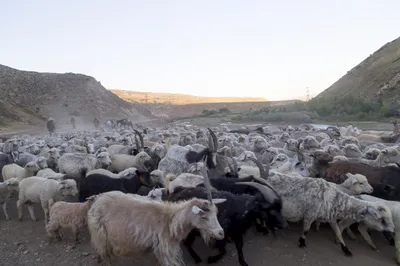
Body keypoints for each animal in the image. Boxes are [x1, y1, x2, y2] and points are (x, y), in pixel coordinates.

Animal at [87, 191, 225, 266]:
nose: (221, 233)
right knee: (106, 256)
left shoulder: (160, 249)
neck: (170, 221)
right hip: (100, 236)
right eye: (203, 216)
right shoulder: (166, 250)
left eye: (216, 213)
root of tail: (97, 200)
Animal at [256, 171, 394, 256]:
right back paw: (264, 229)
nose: (392, 231)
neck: (335, 199)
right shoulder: (310, 215)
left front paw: (346, 250)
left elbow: (338, 233)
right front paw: (302, 242)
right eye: (382, 220)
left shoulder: (331, 218)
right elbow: (306, 230)